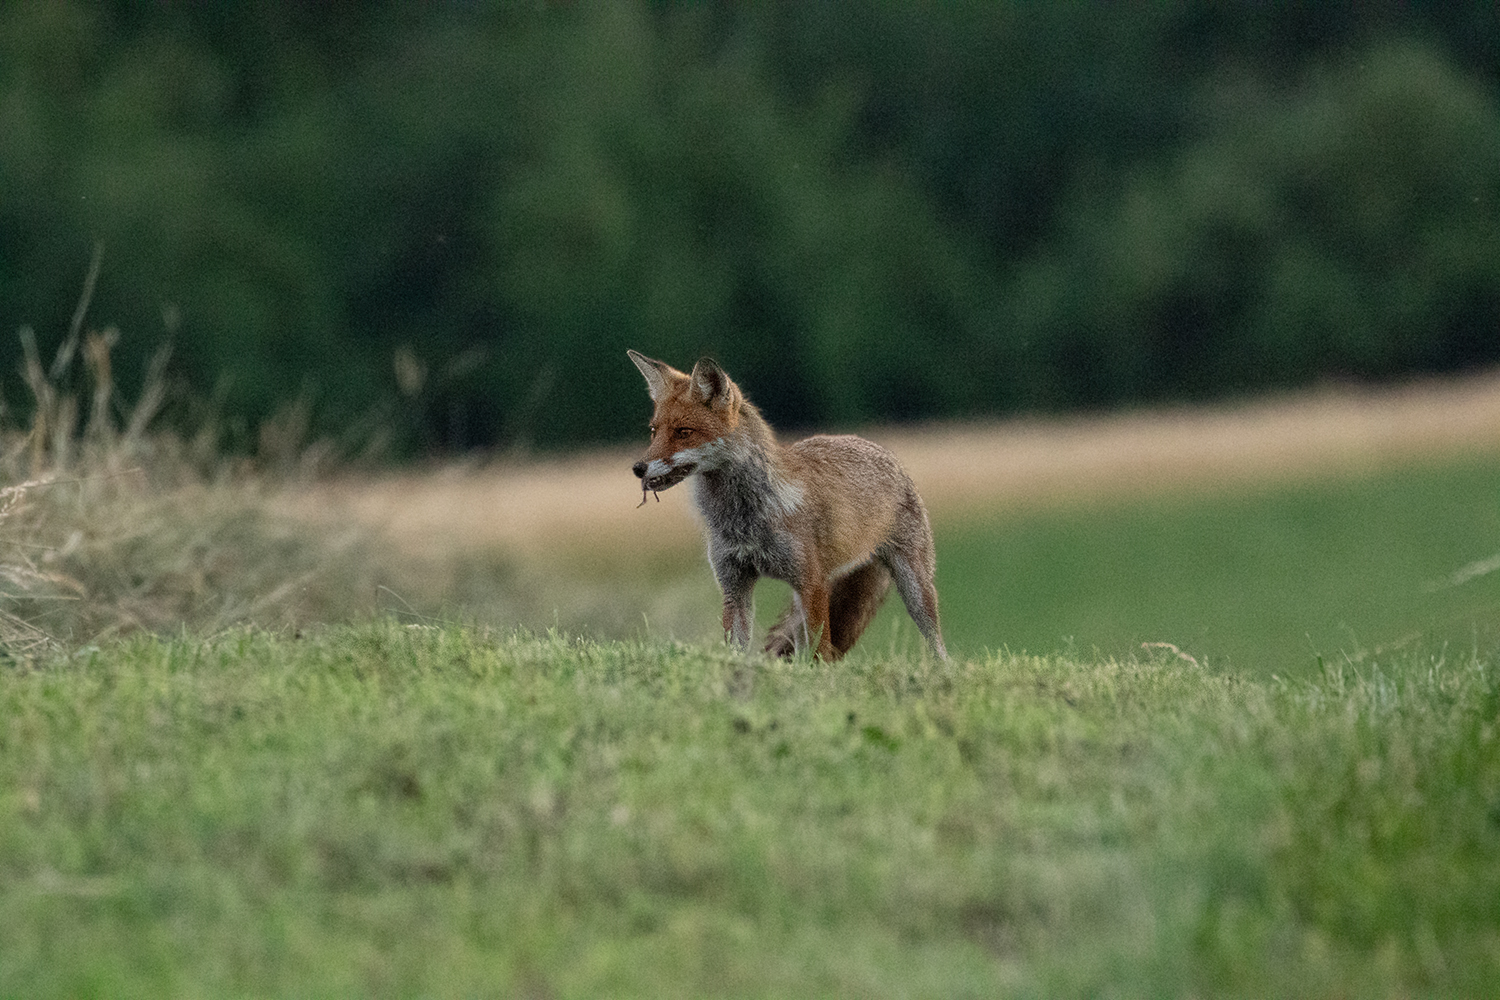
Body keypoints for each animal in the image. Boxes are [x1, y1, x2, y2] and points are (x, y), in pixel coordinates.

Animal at [630, 347, 948, 659]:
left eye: (684, 432)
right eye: (653, 432)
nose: (638, 468)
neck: (744, 518)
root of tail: (877, 447)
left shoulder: (811, 583)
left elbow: (820, 653)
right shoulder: (734, 586)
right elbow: (737, 650)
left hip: (915, 588)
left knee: (938, 645)